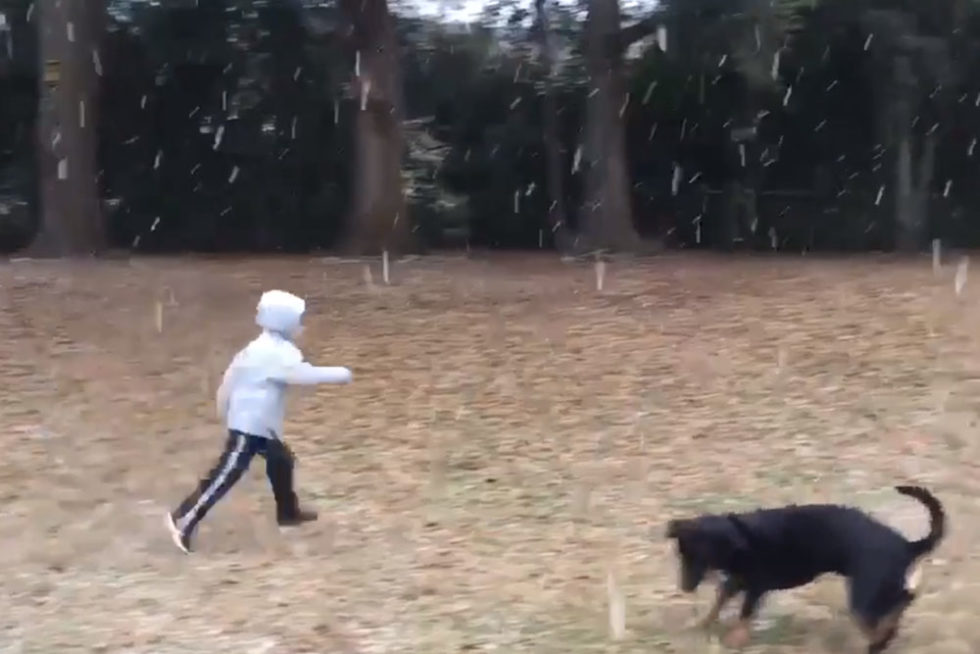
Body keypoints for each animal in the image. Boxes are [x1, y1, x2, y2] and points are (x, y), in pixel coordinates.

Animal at [668, 484, 940, 652]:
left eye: (699, 557)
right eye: (681, 555)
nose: (685, 587)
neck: (741, 537)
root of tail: (906, 545)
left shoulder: (755, 587)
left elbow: (744, 614)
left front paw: (735, 639)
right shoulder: (737, 581)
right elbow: (718, 603)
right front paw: (701, 625)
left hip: (864, 594)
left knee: (888, 612)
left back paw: (879, 641)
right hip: (880, 589)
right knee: (902, 601)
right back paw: (884, 637)